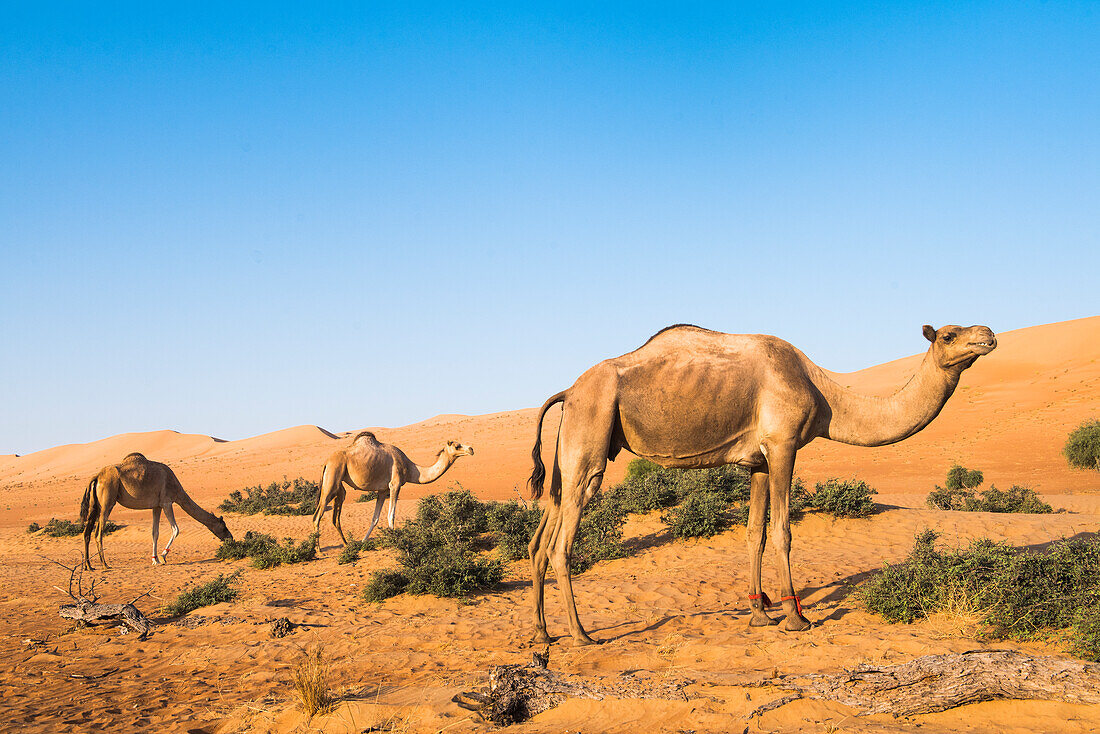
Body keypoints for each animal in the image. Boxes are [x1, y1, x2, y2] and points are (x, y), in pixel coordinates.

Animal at [80, 453, 234, 572]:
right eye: (224, 527)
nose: (231, 538)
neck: (177, 488)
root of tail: (97, 477)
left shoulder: (156, 506)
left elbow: (155, 532)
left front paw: (155, 560)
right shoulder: (167, 502)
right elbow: (176, 529)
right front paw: (163, 556)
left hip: (95, 506)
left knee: (86, 533)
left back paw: (89, 566)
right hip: (107, 503)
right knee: (98, 533)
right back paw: (105, 565)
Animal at [314, 431, 477, 545]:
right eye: (457, 445)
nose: (471, 449)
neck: (411, 469)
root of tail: (326, 462)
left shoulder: (382, 490)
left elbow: (375, 518)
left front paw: (363, 542)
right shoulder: (395, 485)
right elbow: (391, 515)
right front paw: (394, 540)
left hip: (337, 484)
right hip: (332, 478)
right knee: (318, 515)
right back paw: (319, 551)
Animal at [528, 323, 1003, 647]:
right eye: (949, 335)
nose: (988, 334)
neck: (823, 394)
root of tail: (568, 390)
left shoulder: (756, 460)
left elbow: (754, 532)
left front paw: (759, 611)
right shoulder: (783, 445)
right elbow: (782, 531)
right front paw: (795, 617)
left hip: (569, 451)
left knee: (539, 541)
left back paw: (542, 636)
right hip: (590, 436)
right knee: (561, 545)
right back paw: (581, 635)